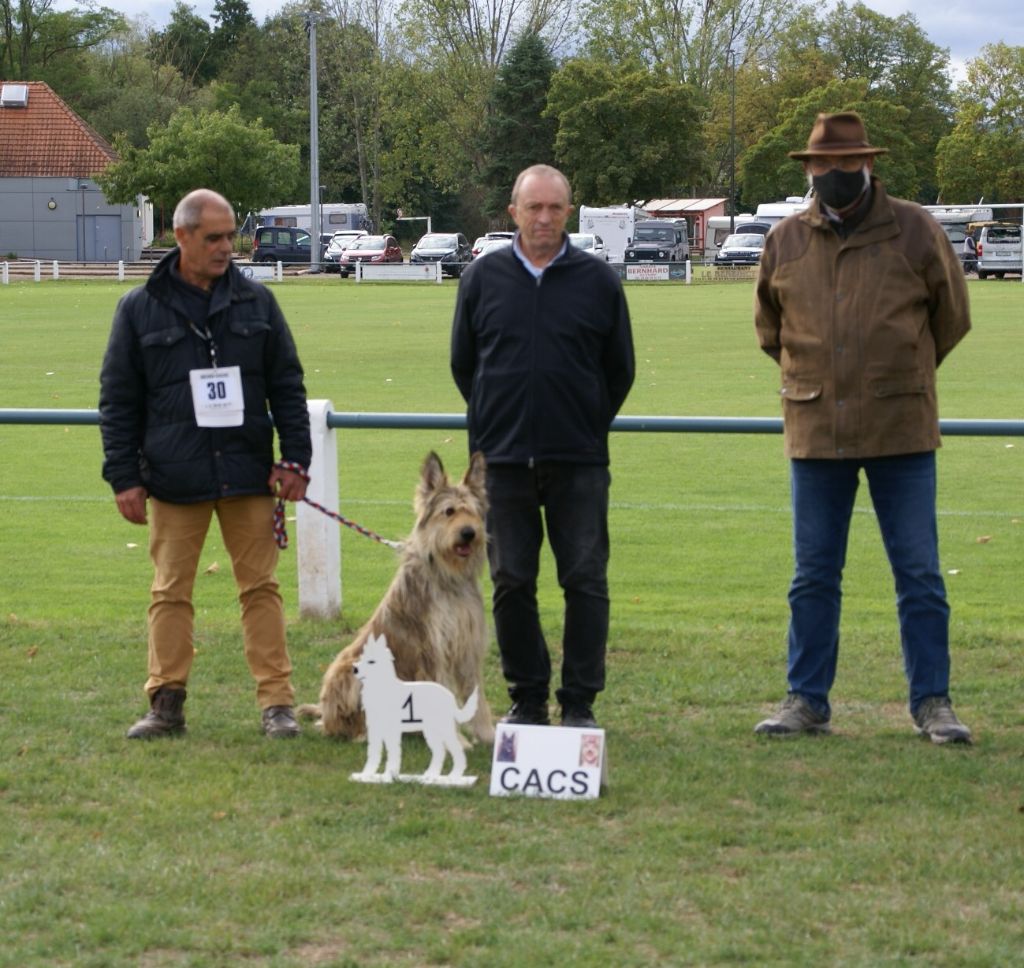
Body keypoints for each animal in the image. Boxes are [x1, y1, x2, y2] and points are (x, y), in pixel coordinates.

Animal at [299, 448, 493, 745]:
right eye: (449, 511)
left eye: (472, 511)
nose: (469, 533)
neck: (448, 576)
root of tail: (324, 711)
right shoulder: (433, 651)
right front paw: (457, 740)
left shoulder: (467, 646)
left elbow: (477, 694)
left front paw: (489, 735)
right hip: (351, 673)